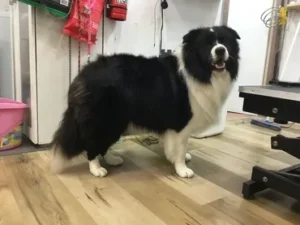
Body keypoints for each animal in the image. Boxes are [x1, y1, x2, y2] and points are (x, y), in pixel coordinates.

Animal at [50, 25, 240, 178]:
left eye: (225, 42)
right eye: (207, 44)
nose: (220, 50)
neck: (198, 71)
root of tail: (84, 73)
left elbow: (177, 147)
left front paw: (179, 158)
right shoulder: (181, 123)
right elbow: (180, 147)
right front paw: (182, 170)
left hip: (117, 120)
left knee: (103, 143)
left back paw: (112, 160)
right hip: (105, 119)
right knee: (92, 143)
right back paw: (96, 169)